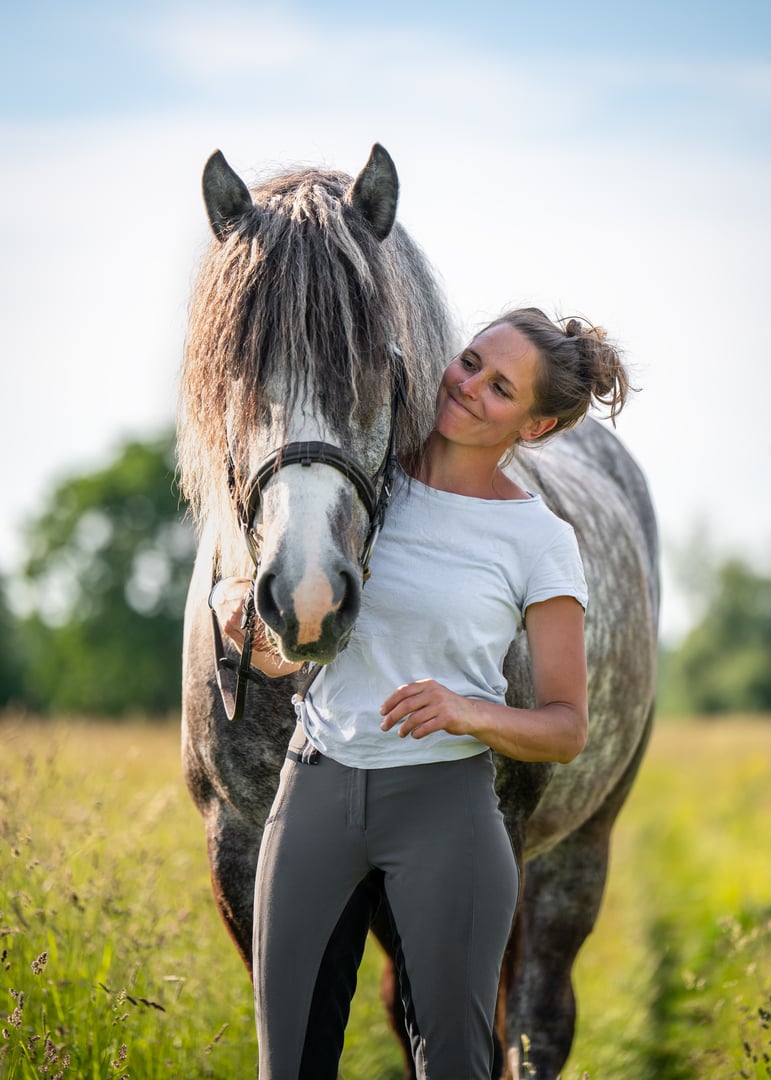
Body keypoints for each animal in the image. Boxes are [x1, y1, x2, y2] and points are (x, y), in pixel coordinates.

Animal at [178, 143, 659, 1080]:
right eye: (235, 371)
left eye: (380, 365)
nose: (307, 597)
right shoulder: (241, 853)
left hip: (577, 853)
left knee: (536, 1022)